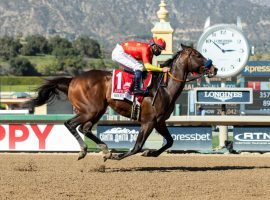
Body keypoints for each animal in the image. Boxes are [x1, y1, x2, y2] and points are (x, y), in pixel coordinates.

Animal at [27, 44, 217, 161]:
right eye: (198, 55)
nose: (214, 68)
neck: (164, 87)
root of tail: (73, 80)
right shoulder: (148, 121)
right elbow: (138, 146)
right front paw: (121, 156)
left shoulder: (159, 121)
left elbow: (170, 141)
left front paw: (151, 153)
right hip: (91, 110)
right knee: (71, 124)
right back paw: (85, 151)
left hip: (98, 110)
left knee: (85, 128)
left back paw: (105, 150)